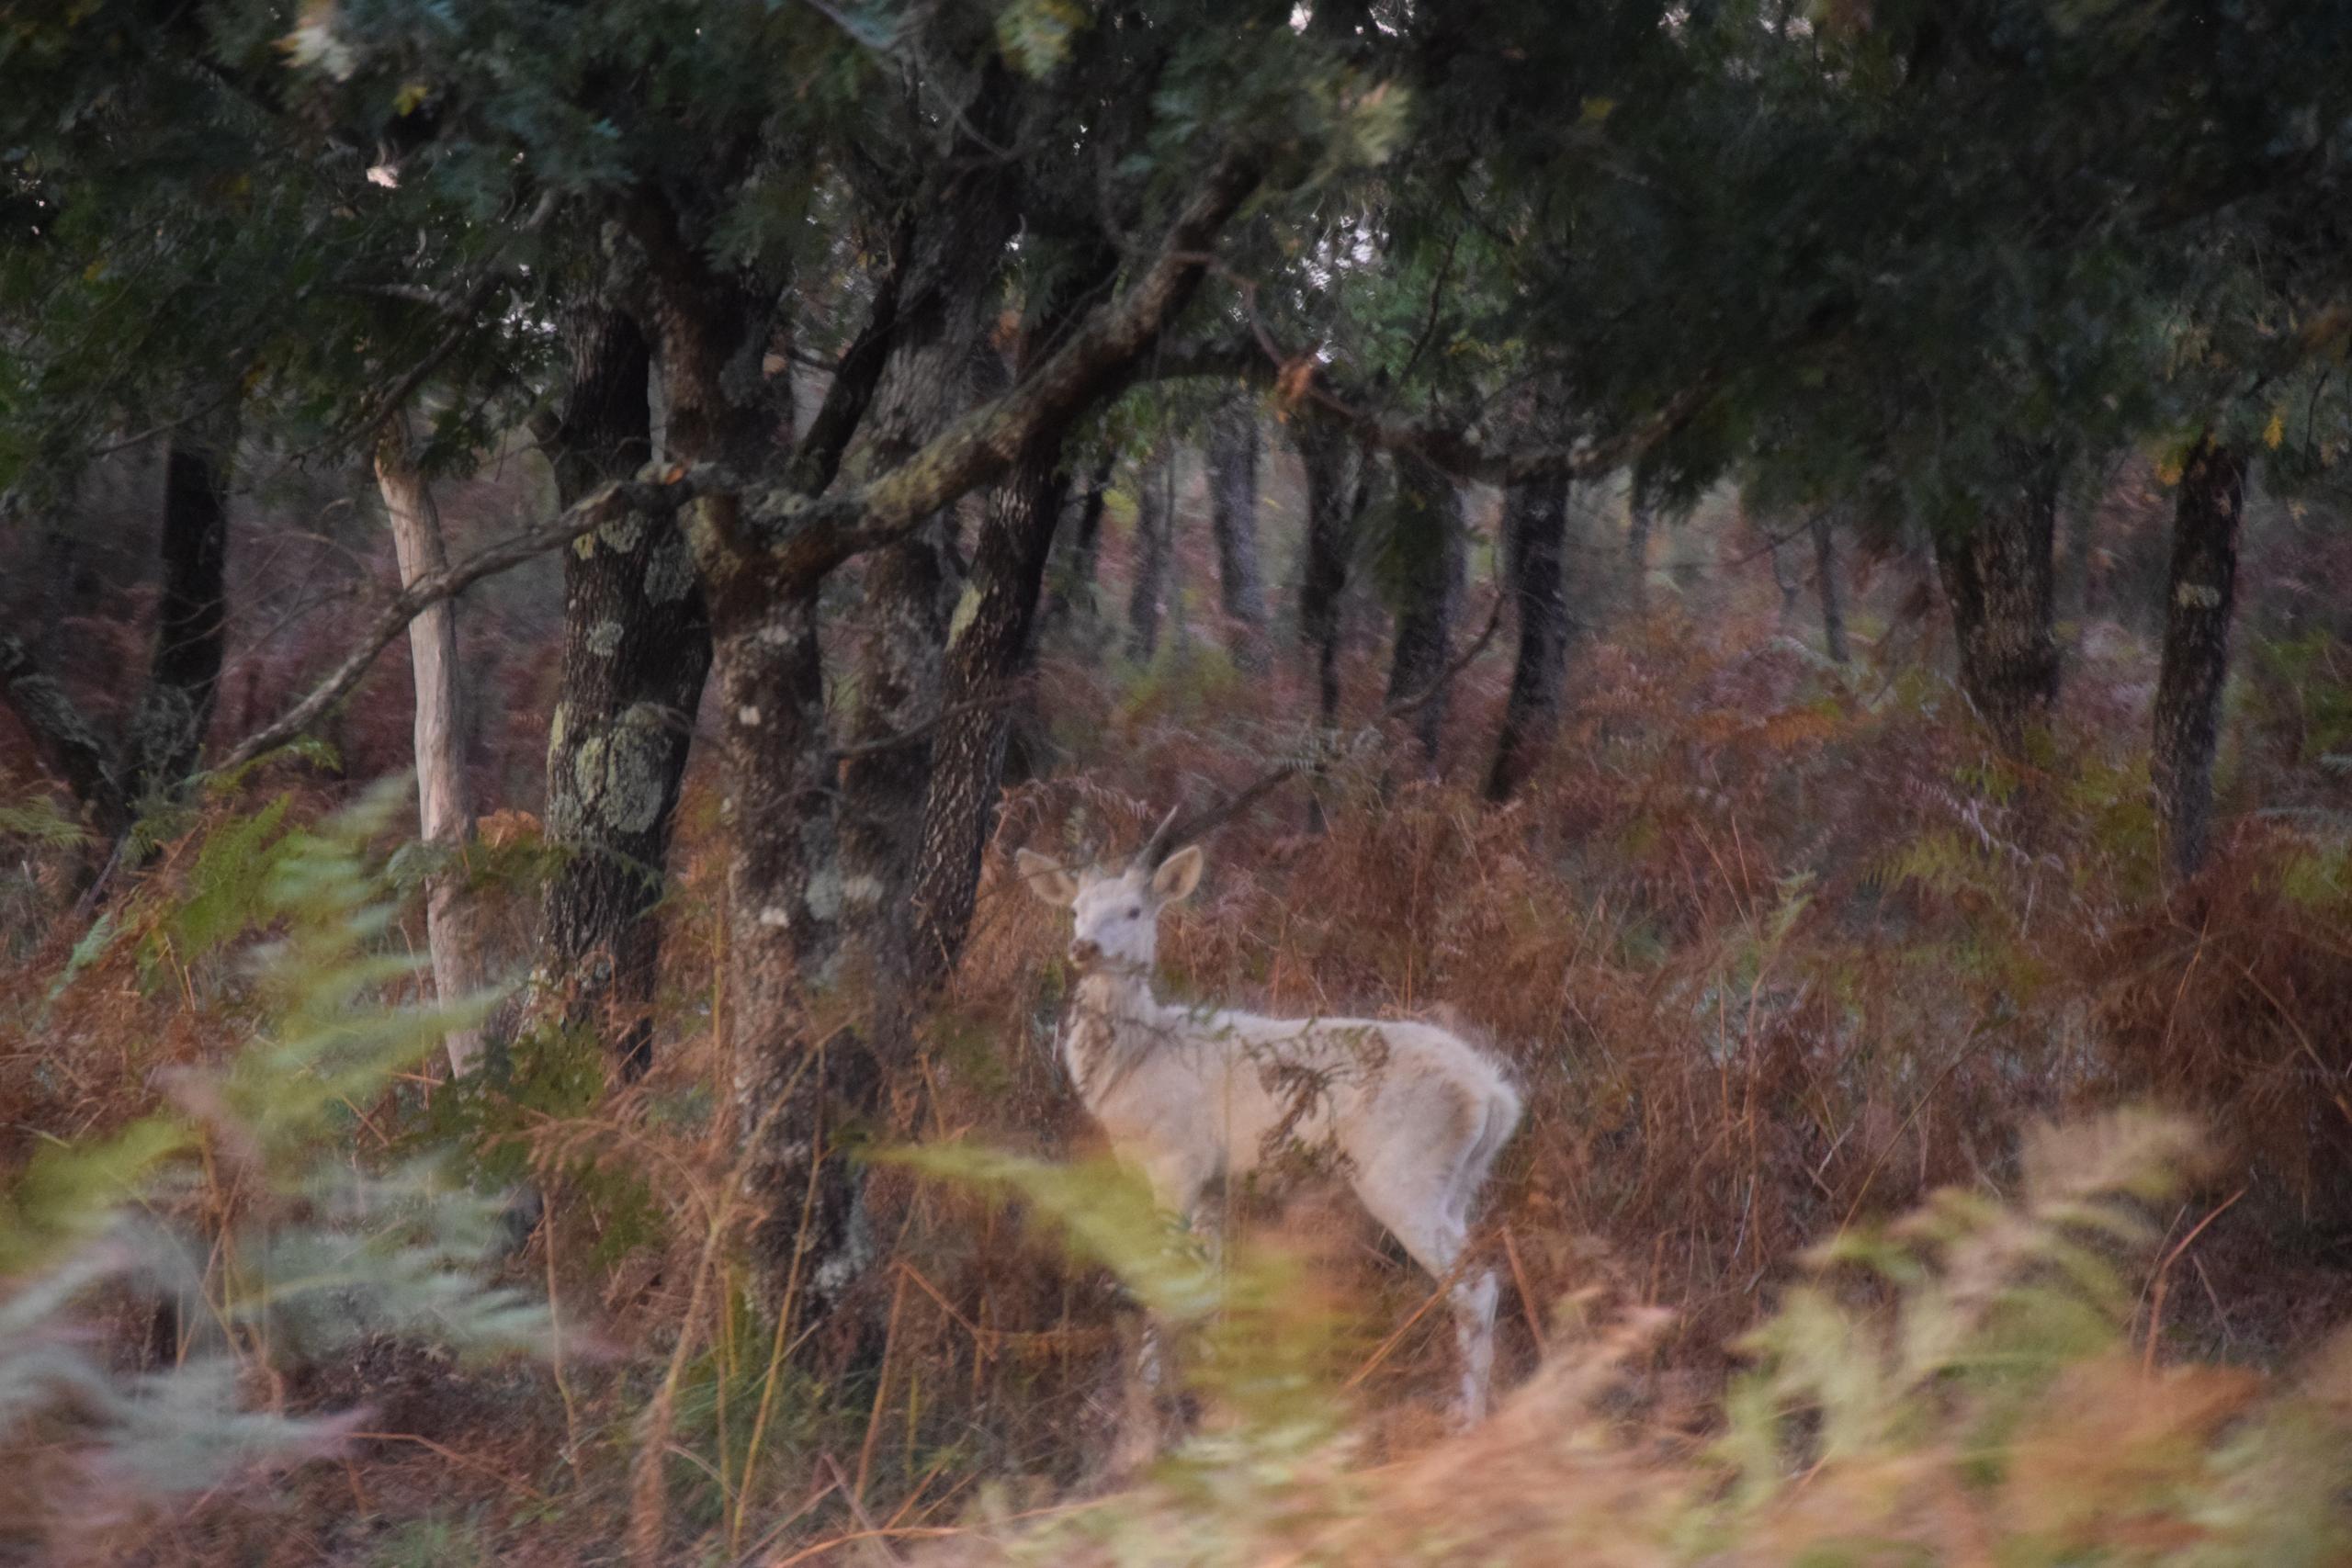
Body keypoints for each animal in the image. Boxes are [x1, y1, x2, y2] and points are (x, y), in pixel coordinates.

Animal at [1016, 806, 1523, 1426]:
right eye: (1075, 909)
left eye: (1134, 910)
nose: (1084, 947)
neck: (1137, 1066)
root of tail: (1494, 1096)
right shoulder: (1212, 1181)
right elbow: (1208, 1282)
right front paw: (1214, 1376)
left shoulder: (1178, 1159)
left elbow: (1164, 1279)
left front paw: (1153, 1391)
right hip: (1461, 1183)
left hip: (1405, 1174)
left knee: (1475, 1285)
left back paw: (1468, 1416)